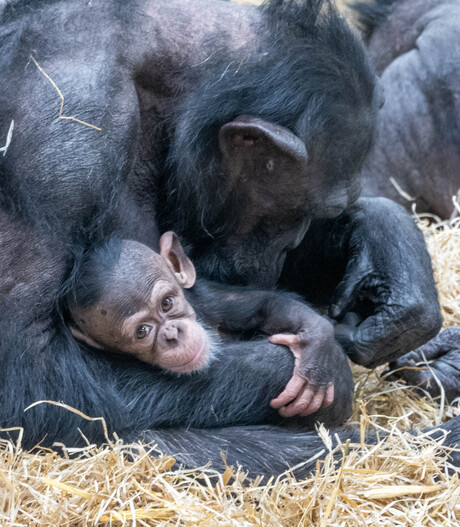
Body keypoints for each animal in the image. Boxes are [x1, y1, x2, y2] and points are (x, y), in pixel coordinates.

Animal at [68, 233, 342, 418]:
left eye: (167, 303)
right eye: (142, 331)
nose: (171, 333)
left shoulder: (211, 301)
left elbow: (261, 305)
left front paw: (315, 351)